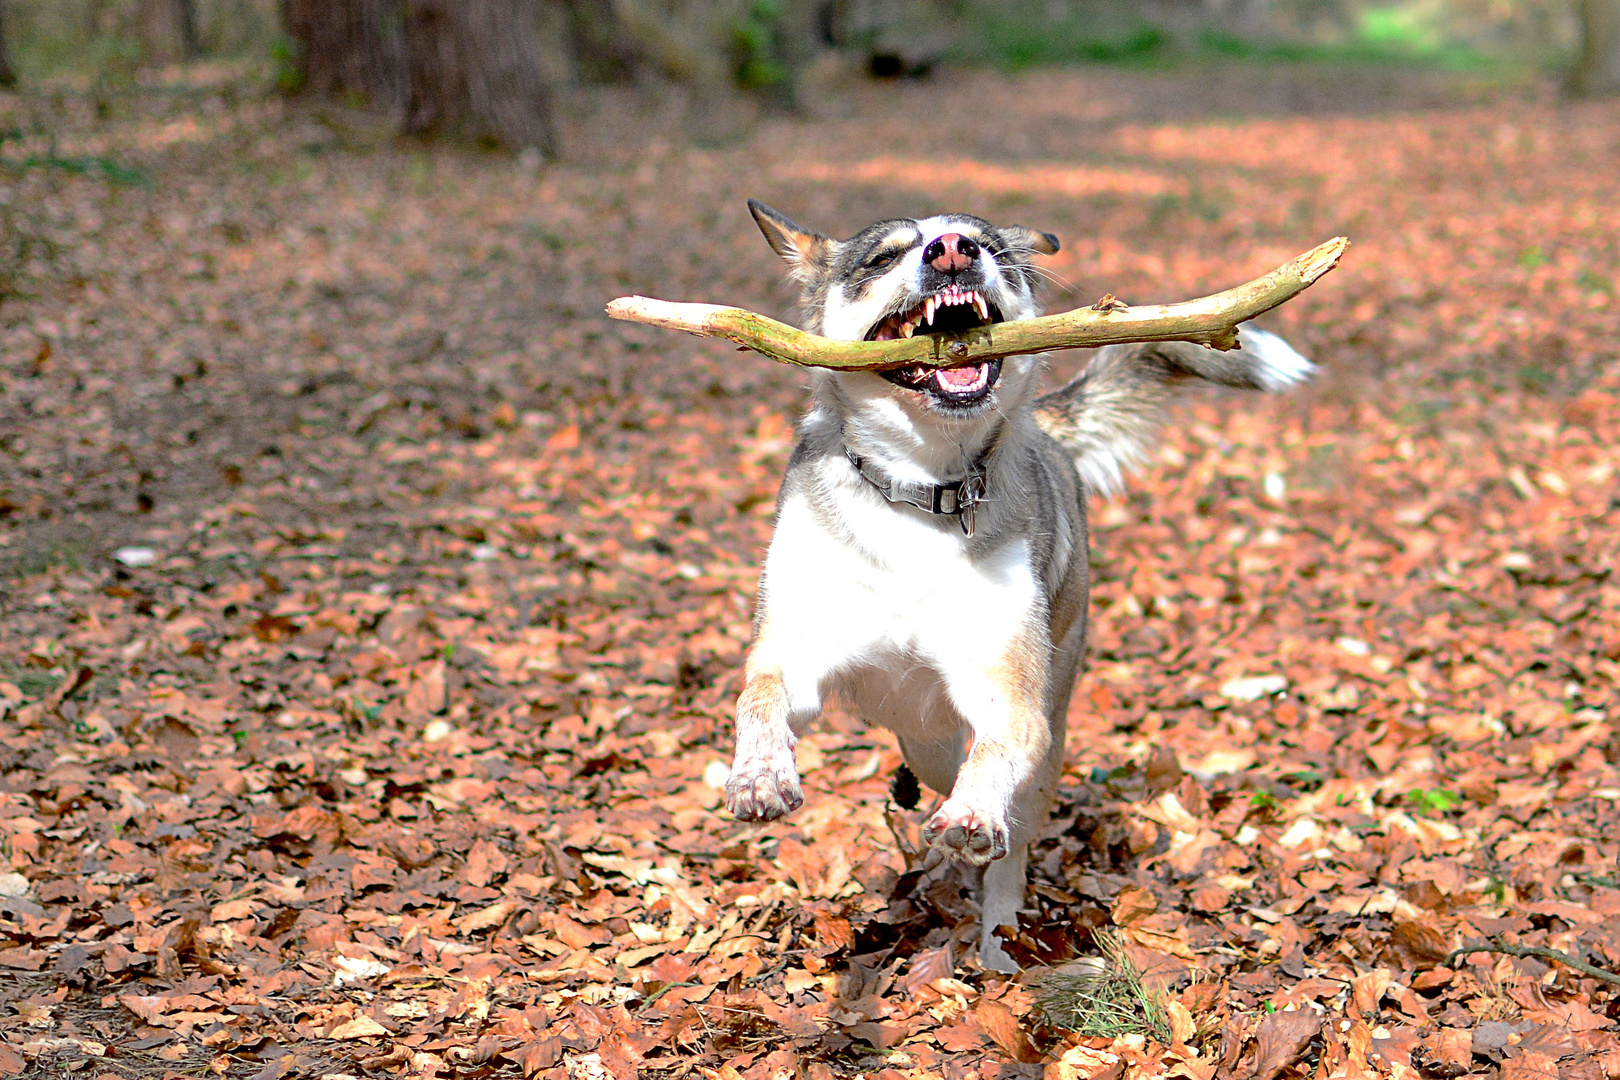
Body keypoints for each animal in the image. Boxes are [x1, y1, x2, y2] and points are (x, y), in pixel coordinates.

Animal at [729, 200, 1308, 971]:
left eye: (992, 248)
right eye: (883, 258)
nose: (953, 249)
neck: (920, 492)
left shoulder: (1008, 692)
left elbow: (997, 752)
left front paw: (975, 814)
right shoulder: (796, 649)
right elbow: (760, 699)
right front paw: (760, 773)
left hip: (1033, 745)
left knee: (1007, 843)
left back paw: (997, 939)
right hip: (923, 740)